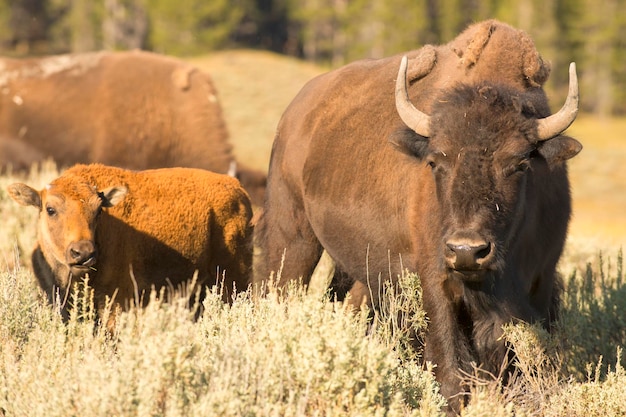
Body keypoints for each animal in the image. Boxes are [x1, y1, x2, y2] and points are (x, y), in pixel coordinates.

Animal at [7, 162, 251, 322]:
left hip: (232, 280)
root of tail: (238, 188)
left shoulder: (116, 300)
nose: (83, 253)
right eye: (50, 209)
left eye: (98, 211)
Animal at [255, 18, 580, 410]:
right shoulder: (436, 282)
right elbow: (450, 371)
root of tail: (295, 115)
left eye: (519, 163)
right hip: (293, 237)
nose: (467, 251)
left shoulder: (538, 286)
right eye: (436, 160)